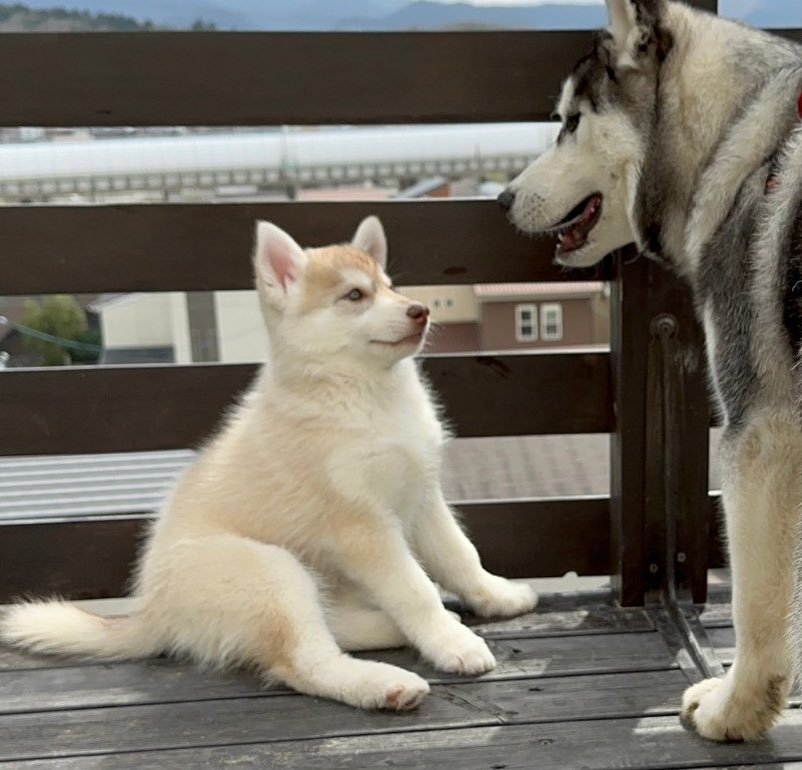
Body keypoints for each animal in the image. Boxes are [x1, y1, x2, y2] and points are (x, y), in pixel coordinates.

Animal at [1, 216, 536, 708]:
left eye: (388, 286)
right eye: (355, 296)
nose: (420, 310)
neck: (364, 395)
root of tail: (153, 612)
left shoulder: (422, 498)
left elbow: (461, 556)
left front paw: (498, 597)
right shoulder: (363, 527)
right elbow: (415, 588)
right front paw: (453, 643)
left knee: (329, 625)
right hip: (272, 571)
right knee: (302, 661)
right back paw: (383, 683)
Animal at [496, 0, 800, 740]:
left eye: (571, 121)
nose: (503, 199)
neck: (743, 149)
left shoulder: (764, 437)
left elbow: (757, 608)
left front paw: (737, 709)